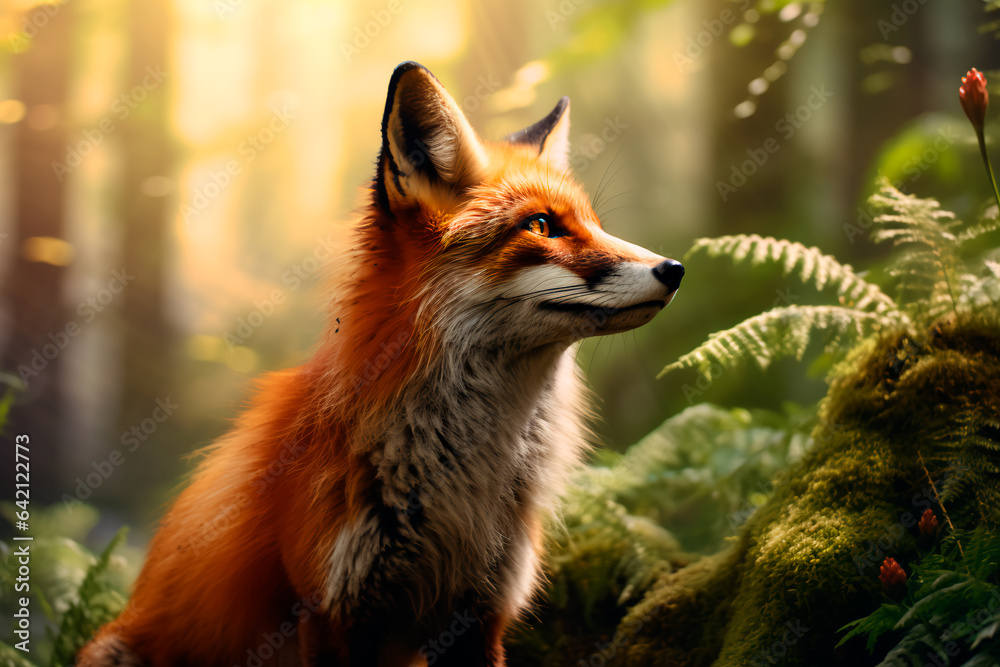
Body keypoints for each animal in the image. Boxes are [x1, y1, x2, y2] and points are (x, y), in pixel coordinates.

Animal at [77, 61, 684, 667]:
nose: (675, 268)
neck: (461, 485)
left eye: (595, 223)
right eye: (540, 226)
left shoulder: (481, 613)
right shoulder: (331, 611)